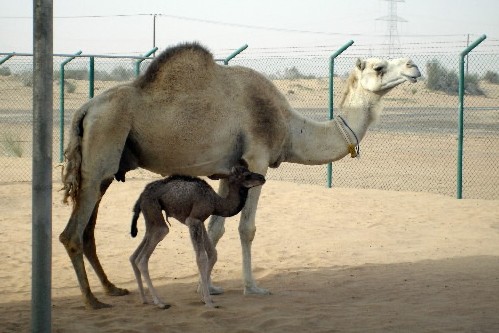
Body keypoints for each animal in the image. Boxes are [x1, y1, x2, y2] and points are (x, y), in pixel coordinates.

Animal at [131, 166, 268, 308]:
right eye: (247, 175)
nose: (262, 178)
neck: (215, 202)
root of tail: (141, 196)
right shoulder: (194, 220)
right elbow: (201, 258)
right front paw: (208, 301)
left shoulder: (200, 221)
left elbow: (213, 253)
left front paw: (204, 296)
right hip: (154, 211)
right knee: (144, 257)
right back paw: (159, 302)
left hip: (150, 217)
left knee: (135, 255)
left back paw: (144, 299)